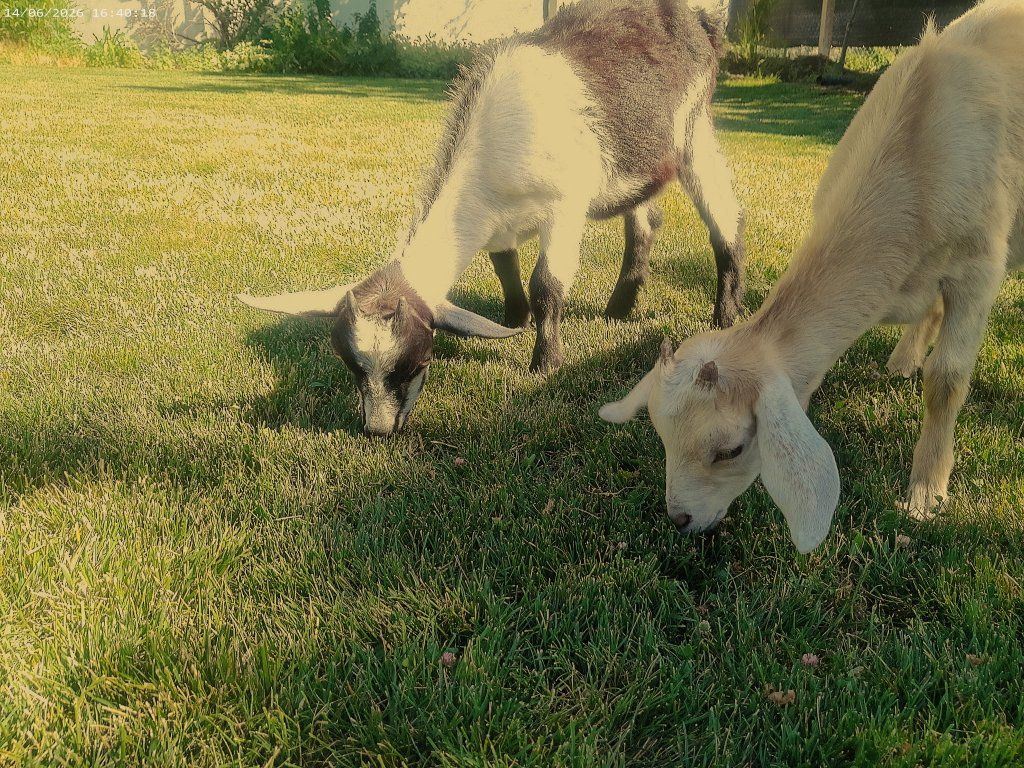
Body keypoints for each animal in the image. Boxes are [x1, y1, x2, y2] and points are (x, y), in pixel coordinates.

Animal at [237, 0, 746, 436]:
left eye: (419, 363)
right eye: (351, 366)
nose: (379, 429)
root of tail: (699, 21)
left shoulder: (565, 206)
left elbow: (547, 283)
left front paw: (545, 362)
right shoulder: (499, 226)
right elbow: (505, 269)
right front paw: (513, 320)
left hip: (694, 130)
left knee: (726, 220)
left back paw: (725, 315)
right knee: (644, 220)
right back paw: (619, 308)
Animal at [600, 0, 1024, 553]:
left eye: (732, 450)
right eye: (661, 436)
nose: (680, 520)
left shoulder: (979, 269)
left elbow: (947, 379)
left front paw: (925, 494)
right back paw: (902, 359)